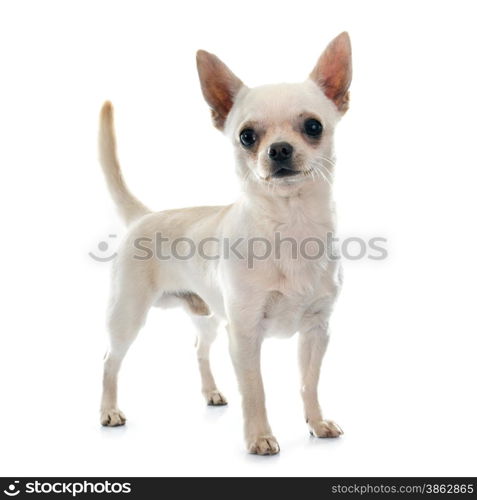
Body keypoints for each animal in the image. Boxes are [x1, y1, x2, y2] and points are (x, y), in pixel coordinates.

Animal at [97, 31, 350, 454]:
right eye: (247, 136)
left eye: (314, 126)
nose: (279, 149)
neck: (290, 226)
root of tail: (144, 215)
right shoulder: (244, 334)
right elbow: (255, 390)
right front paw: (260, 437)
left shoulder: (317, 331)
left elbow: (308, 383)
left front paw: (316, 423)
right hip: (127, 317)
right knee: (109, 360)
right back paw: (109, 411)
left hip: (209, 316)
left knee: (199, 349)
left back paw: (211, 393)